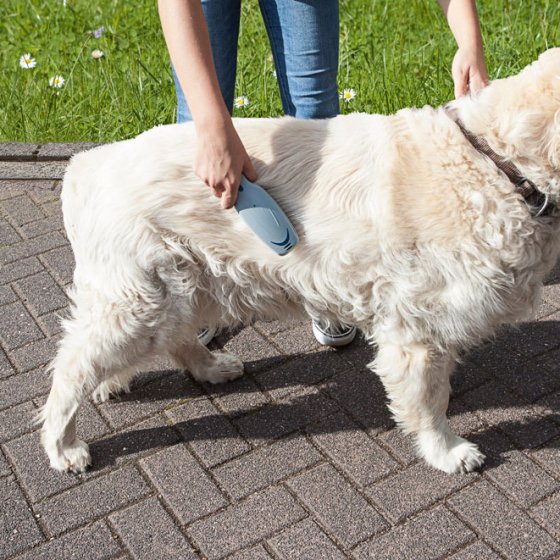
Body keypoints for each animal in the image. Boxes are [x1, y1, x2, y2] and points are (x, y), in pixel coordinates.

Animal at [39, 50, 560, 474]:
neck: (498, 165)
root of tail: (87, 164)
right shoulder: (417, 332)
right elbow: (429, 401)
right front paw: (446, 451)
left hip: (184, 285)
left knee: (169, 341)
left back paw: (206, 368)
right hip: (139, 302)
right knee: (71, 368)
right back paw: (62, 447)